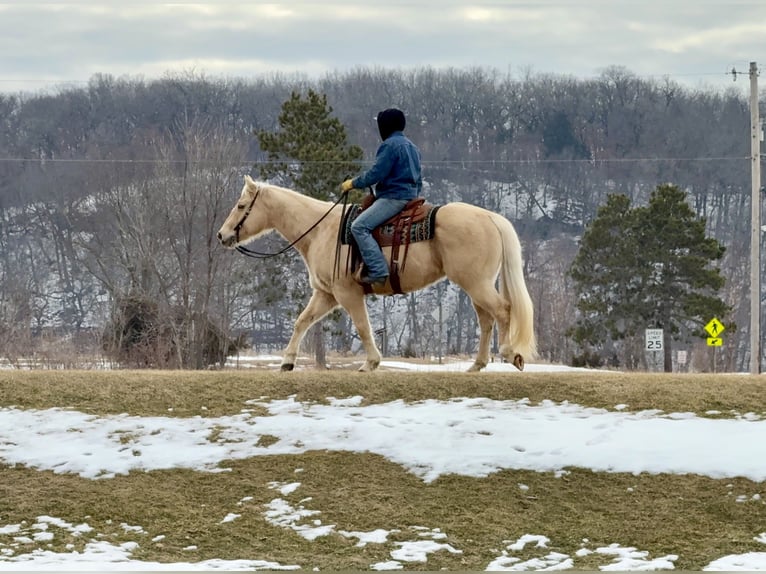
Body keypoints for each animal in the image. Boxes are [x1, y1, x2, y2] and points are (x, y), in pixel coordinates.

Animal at [217, 176, 537, 372]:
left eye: (242, 205)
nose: (222, 235)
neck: (321, 230)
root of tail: (491, 218)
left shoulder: (347, 293)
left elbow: (362, 327)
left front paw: (370, 363)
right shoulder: (326, 295)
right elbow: (301, 322)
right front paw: (286, 362)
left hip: (476, 284)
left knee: (503, 311)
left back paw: (510, 354)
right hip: (474, 285)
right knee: (486, 320)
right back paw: (477, 364)